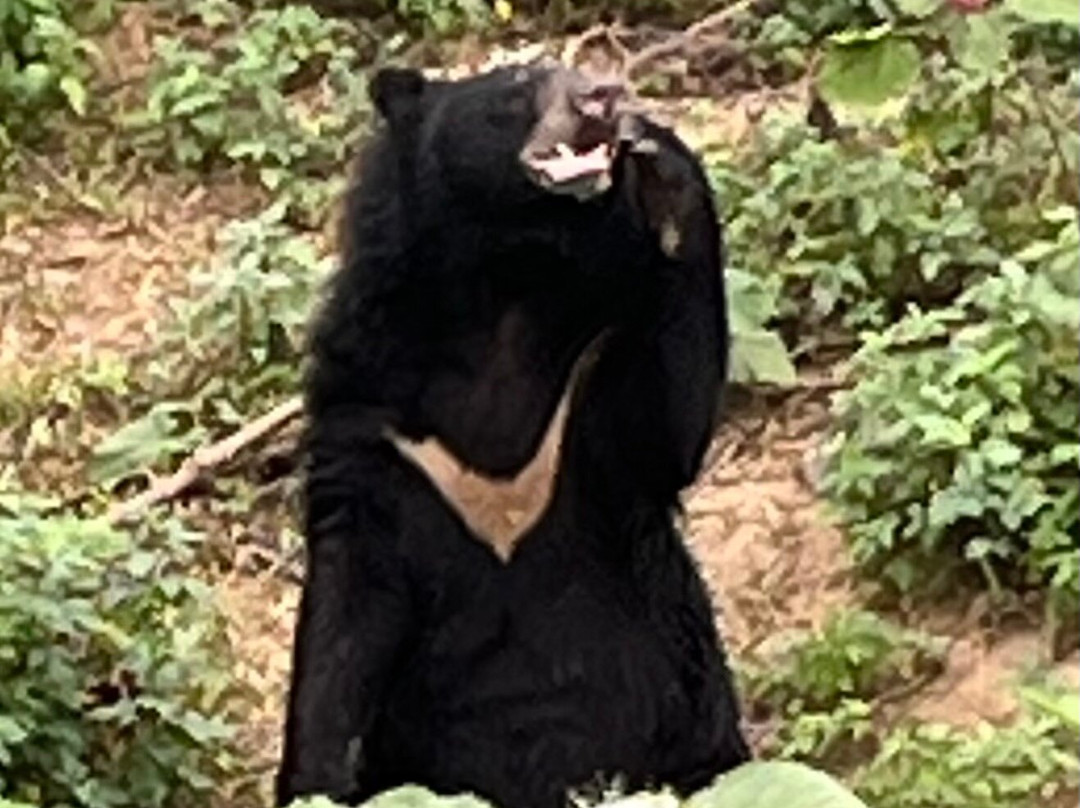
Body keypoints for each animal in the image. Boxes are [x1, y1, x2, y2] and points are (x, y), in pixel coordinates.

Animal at [277, 60, 750, 808]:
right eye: (520, 84)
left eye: (577, 72)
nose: (603, 95)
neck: (509, 281)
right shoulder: (370, 417)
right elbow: (343, 620)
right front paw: (316, 781)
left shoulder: (594, 377)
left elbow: (668, 431)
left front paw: (659, 164)